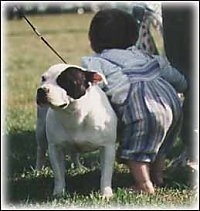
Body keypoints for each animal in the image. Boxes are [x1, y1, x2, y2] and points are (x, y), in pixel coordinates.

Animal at [35, 63, 118, 198]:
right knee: (41, 151)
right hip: (41, 131)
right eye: (43, 78)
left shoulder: (107, 147)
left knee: (74, 152)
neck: (73, 113)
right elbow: (58, 174)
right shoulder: (55, 148)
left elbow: (106, 174)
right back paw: (38, 170)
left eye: (65, 81)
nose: (41, 90)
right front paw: (59, 192)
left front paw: (106, 194)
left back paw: (79, 168)